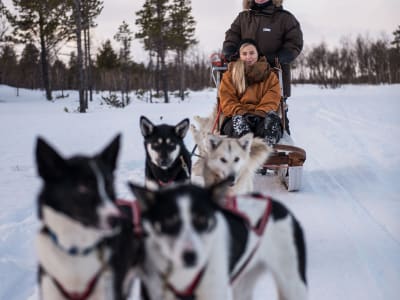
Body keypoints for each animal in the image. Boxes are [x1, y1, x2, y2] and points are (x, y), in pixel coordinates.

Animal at [130, 179, 308, 298]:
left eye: (202, 218)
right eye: (169, 220)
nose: (190, 256)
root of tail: (278, 206)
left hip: (293, 285)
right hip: (243, 285)